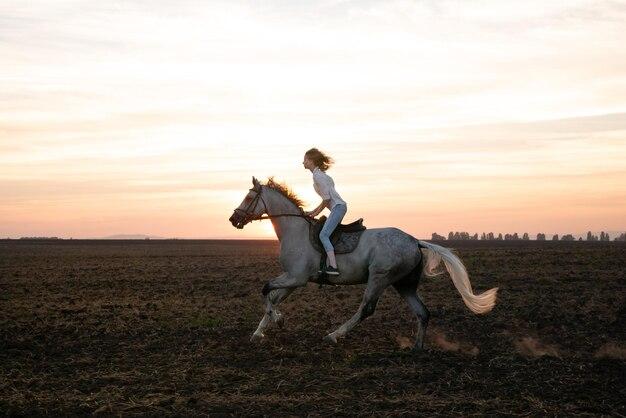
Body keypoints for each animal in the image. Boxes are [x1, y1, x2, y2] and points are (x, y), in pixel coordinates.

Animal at [225, 176, 498, 350]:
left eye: (248, 196)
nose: (233, 219)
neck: (294, 230)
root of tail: (415, 241)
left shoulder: (296, 278)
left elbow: (265, 290)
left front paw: (278, 321)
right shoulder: (293, 279)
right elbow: (272, 297)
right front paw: (260, 331)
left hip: (379, 278)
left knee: (366, 308)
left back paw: (334, 335)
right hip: (404, 284)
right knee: (422, 312)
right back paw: (417, 348)